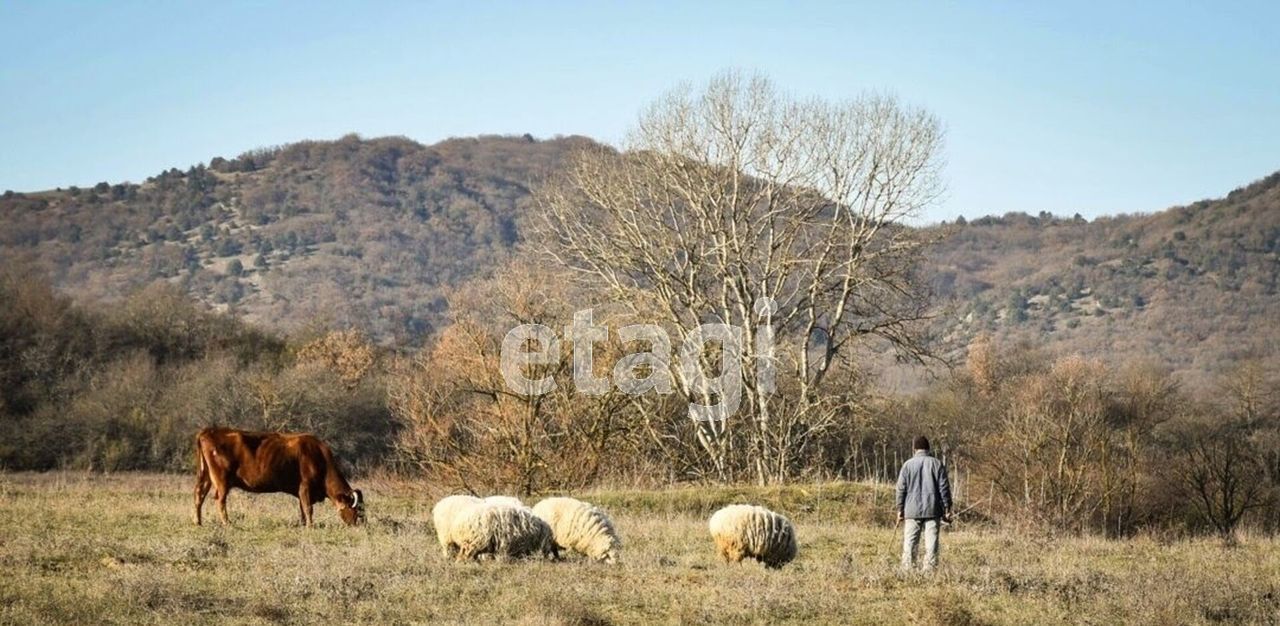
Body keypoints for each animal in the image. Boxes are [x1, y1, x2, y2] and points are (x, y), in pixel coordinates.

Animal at [193, 427, 366, 524]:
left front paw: (303, 524)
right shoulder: (305, 487)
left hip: (206, 476)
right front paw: (311, 526)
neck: (319, 457)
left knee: (198, 496)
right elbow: (308, 509)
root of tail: (209, 431)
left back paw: (198, 522)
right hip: (221, 480)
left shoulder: (300, 491)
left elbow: (302, 509)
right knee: (220, 501)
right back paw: (227, 523)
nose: (360, 524)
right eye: (357, 510)